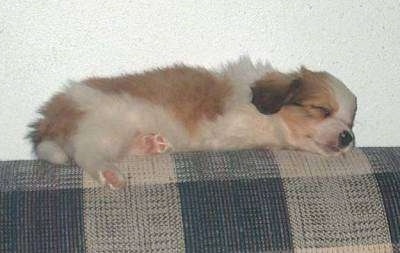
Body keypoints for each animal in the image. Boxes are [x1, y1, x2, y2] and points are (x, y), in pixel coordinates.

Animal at [29, 56, 358, 189]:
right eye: (322, 110)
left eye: (351, 122)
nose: (348, 138)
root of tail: (53, 113)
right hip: (101, 128)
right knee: (86, 155)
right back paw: (109, 173)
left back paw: (149, 143)